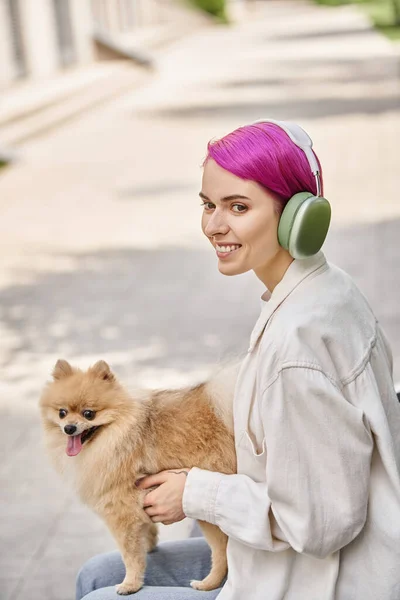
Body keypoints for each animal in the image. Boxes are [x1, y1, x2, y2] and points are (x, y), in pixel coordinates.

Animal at [39, 358, 238, 592]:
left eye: (89, 414)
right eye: (62, 413)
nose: (69, 428)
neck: (118, 433)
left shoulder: (119, 510)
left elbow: (130, 555)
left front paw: (131, 584)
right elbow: (145, 532)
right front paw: (150, 546)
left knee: (222, 552)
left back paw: (208, 583)